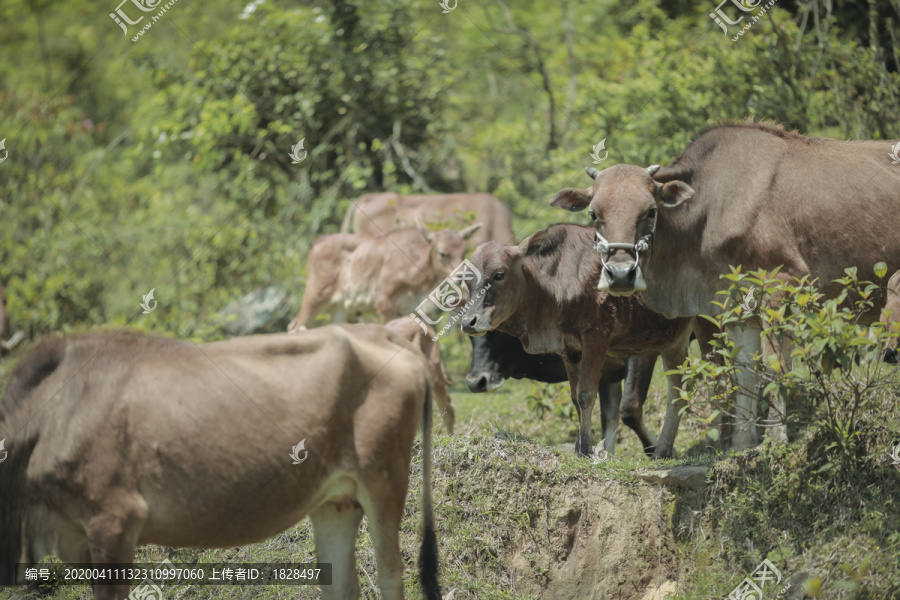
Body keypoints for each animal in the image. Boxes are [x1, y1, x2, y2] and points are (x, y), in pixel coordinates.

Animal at [0, 328, 442, 600]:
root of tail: (389, 335)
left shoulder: (114, 518)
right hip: (335, 502)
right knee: (341, 587)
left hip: (384, 484)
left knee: (391, 576)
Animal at [288, 221, 482, 330]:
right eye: (442, 253)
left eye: (464, 251)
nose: (461, 276)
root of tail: (318, 243)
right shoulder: (384, 303)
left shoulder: (413, 310)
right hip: (315, 297)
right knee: (295, 326)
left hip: (339, 307)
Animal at [460, 223, 692, 458]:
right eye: (466, 280)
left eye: (499, 274)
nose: (475, 382)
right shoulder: (573, 352)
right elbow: (590, 405)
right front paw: (590, 450)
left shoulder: (614, 344)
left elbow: (607, 402)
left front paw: (587, 449)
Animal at [548, 122, 900, 448]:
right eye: (594, 214)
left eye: (650, 211)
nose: (621, 274)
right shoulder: (736, 302)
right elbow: (745, 371)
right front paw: (741, 444)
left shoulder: (780, 286)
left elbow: (774, 368)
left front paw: (774, 439)